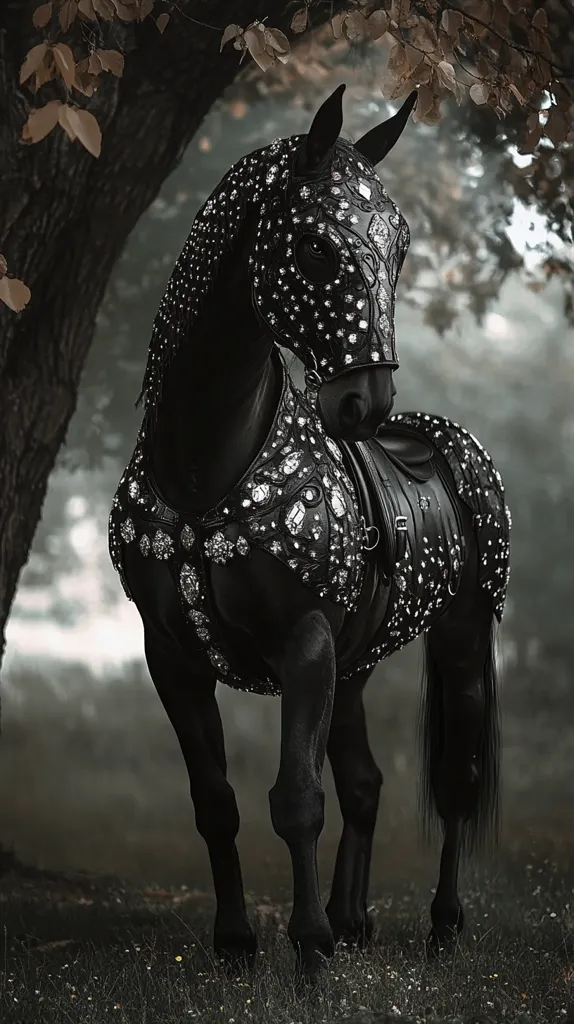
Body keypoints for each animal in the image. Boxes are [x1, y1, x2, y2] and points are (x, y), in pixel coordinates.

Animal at [109, 84, 511, 978]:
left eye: (399, 250)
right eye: (318, 249)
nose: (365, 405)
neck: (206, 471)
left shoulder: (305, 641)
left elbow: (297, 800)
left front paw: (309, 954)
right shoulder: (171, 655)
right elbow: (216, 803)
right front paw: (238, 945)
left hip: (462, 636)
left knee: (456, 781)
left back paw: (441, 927)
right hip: (354, 667)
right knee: (366, 782)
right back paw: (355, 918)